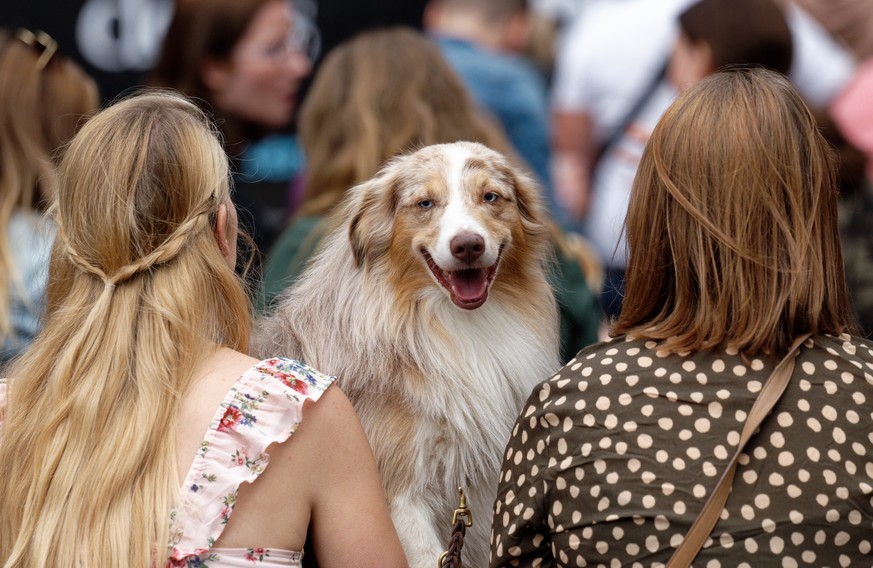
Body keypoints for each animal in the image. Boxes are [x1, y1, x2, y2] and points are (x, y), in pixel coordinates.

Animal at [252, 142, 560, 568]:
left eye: (491, 197)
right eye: (425, 203)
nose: (468, 245)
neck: (454, 326)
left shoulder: (477, 497)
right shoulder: (397, 496)